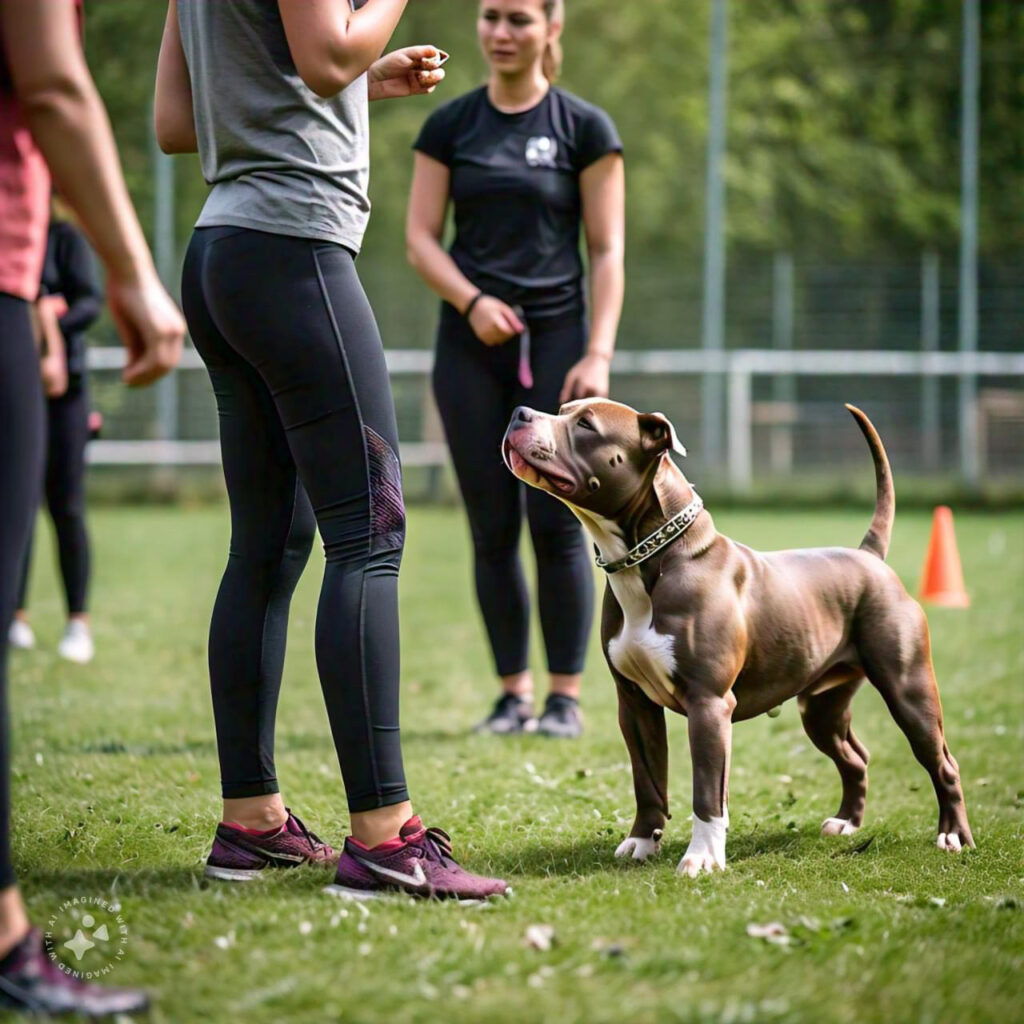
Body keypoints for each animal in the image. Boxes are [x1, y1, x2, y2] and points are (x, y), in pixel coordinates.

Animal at [503, 397, 974, 872]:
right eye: (563, 408)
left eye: (585, 425)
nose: (520, 413)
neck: (649, 560)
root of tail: (869, 558)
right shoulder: (634, 704)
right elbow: (647, 780)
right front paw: (641, 842)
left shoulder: (709, 704)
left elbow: (707, 791)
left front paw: (703, 858)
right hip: (822, 707)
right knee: (855, 757)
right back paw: (847, 823)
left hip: (908, 690)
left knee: (943, 762)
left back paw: (953, 835)